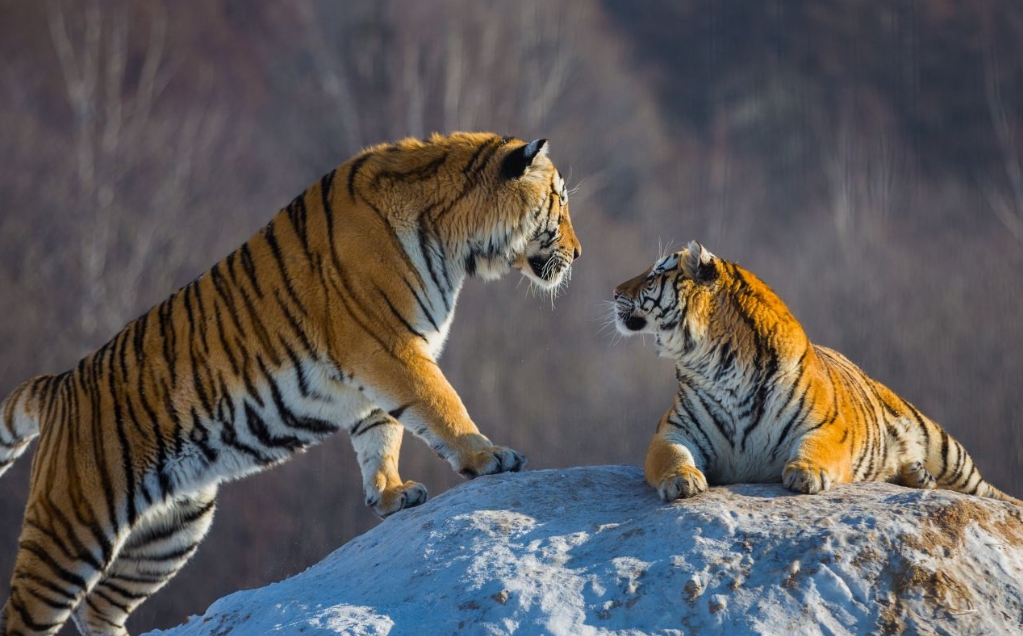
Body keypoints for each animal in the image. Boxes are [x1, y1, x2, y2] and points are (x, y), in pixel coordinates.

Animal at [0, 130, 581, 636]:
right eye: (559, 201)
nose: (578, 254)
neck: (455, 242)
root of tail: (58, 384)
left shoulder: (379, 369)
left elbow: (382, 437)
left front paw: (390, 494)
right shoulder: (389, 346)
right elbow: (442, 404)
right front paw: (488, 456)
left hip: (171, 532)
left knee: (99, 606)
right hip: (72, 528)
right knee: (26, 613)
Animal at [609, 243, 1018, 509]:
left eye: (654, 275)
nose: (613, 291)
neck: (716, 364)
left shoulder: (825, 427)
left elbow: (815, 449)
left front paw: (806, 473)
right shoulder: (672, 431)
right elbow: (672, 456)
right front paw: (682, 480)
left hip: (944, 447)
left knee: (989, 492)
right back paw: (916, 476)